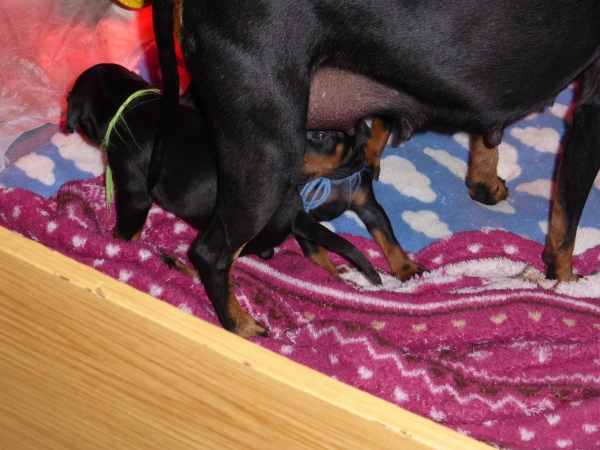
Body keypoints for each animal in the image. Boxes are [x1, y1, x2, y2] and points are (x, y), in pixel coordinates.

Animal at [66, 64, 388, 337]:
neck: (130, 103)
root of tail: (294, 211)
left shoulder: (133, 192)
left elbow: (126, 230)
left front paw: (116, 247)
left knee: (211, 265)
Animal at [151, 0, 600, 337]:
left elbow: (487, 139)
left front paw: (485, 183)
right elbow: (565, 226)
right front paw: (568, 288)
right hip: (270, 153)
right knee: (212, 253)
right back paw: (243, 327)